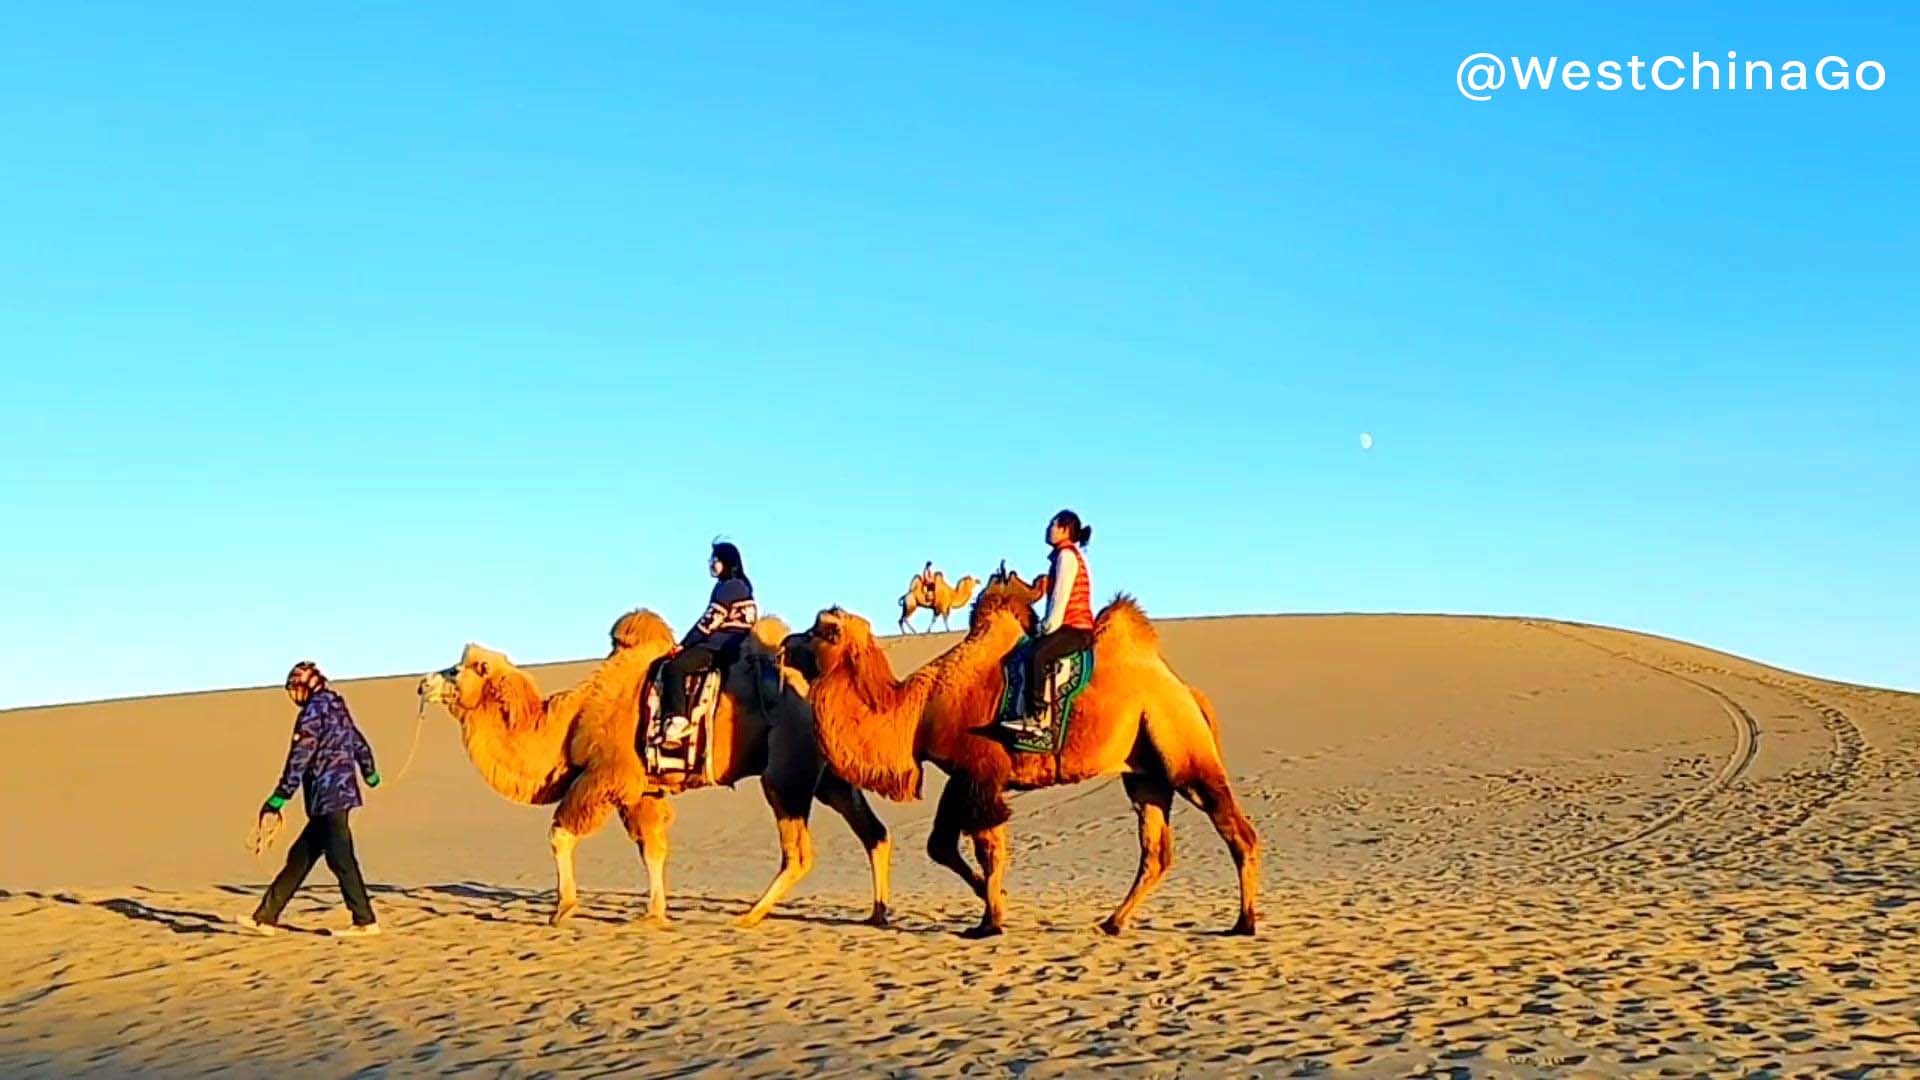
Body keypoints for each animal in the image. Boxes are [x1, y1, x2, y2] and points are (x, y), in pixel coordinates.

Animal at [418, 611, 890, 930]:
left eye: (456, 669)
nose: (423, 683)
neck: (570, 721)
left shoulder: (606, 775)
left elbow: (560, 833)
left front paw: (562, 908)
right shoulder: (642, 790)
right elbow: (654, 849)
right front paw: (654, 914)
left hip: (785, 770)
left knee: (799, 852)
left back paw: (748, 916)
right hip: (827, 773)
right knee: (873, 832)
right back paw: (877, 913)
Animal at [794, 580, 1259, 933]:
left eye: (819, 630)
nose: (785, 644)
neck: (917, 709)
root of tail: (1189, 692)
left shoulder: (978, 772)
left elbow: (985, 848)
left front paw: (988, 922)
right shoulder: (967, 777)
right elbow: (943, 845)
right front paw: (994, 903)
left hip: (1184, 753)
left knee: (1236, 829)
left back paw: (1244, 922)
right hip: (1145, 774)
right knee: (1156, 851)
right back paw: (1112, 922)